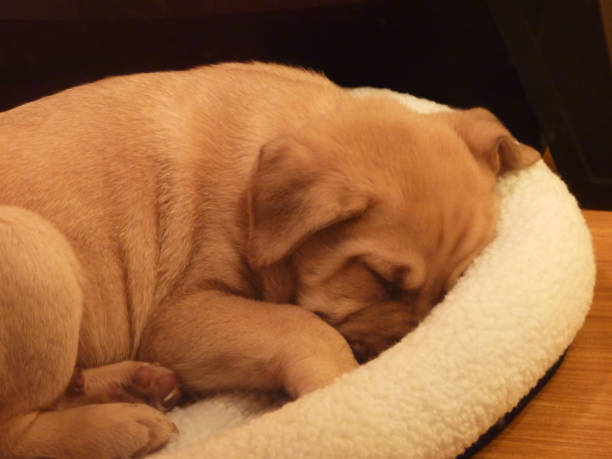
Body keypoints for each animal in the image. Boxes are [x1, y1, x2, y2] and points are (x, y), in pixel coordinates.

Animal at [0, 63, 536, 458]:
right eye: (377, 278)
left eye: (449, 291)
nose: (398, 348)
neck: (250, 196)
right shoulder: (179, 314)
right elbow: (300, 327)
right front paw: (341, 391)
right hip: (35, 252)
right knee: (16, 433)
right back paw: (120, 425)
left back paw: (134, 384)